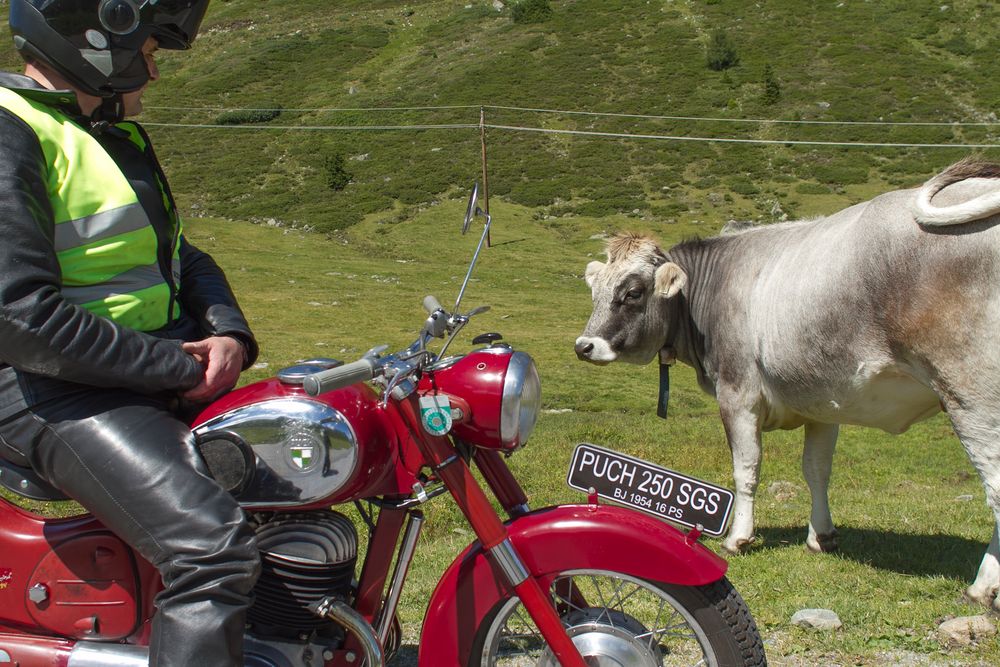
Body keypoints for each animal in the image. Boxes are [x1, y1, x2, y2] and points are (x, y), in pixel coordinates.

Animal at [576, 160, 1000, 612]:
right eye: (595, 291)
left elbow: (746, 468)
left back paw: (981, 587)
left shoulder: (737, 394)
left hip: (972, 395)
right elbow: (817, 470)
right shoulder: (823, 402)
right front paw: (822, 536)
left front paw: (738, 538)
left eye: (633, 292)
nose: (584, 345)